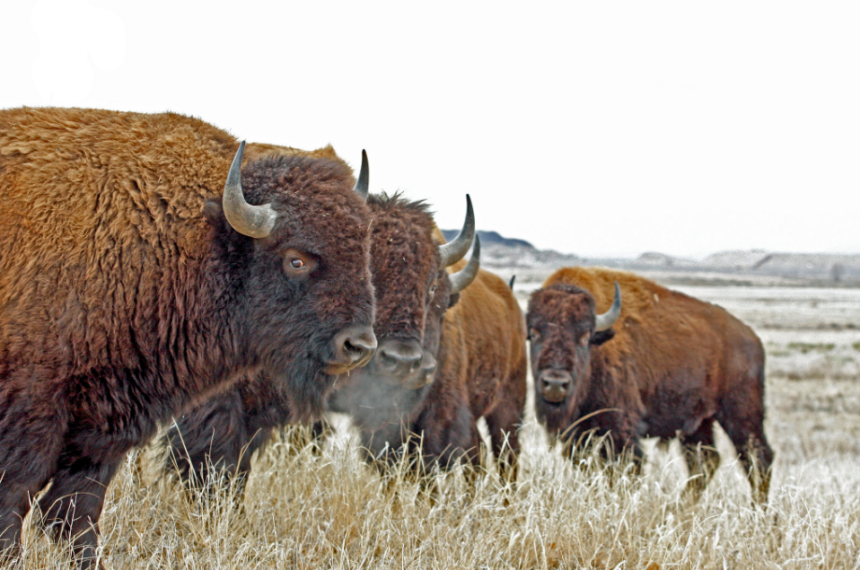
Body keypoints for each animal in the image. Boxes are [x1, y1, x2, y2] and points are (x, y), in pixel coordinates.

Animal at [0, 107, 376, 564]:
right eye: (296, 259)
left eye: (362, 251)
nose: (358, 345)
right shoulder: (33, 407)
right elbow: (17, 493)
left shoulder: (103, 426)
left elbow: (78, 507)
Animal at [528, 266, 776, 502]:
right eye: (534, 333)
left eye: (584, 336)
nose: (555, 384)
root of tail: (752, 338)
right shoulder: (578, 434)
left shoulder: (621, 430)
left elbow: (624, 469)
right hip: (698, 423)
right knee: (705, 460)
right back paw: (682, 505)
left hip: (742, 416)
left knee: (758, 458)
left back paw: (758, 511)